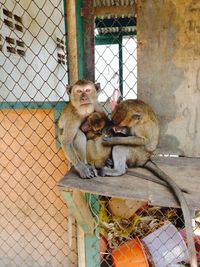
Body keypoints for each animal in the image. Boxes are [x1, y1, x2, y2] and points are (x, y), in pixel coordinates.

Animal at [101, 99, 198, 267]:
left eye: (119, 123)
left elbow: (141, 140)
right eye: (114, 121)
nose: (114, 127)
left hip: (137, 154)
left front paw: (113, 138)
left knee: (124, 147)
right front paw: (114, 132)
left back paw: (118, 169)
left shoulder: (140, 127)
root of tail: (146, 159)